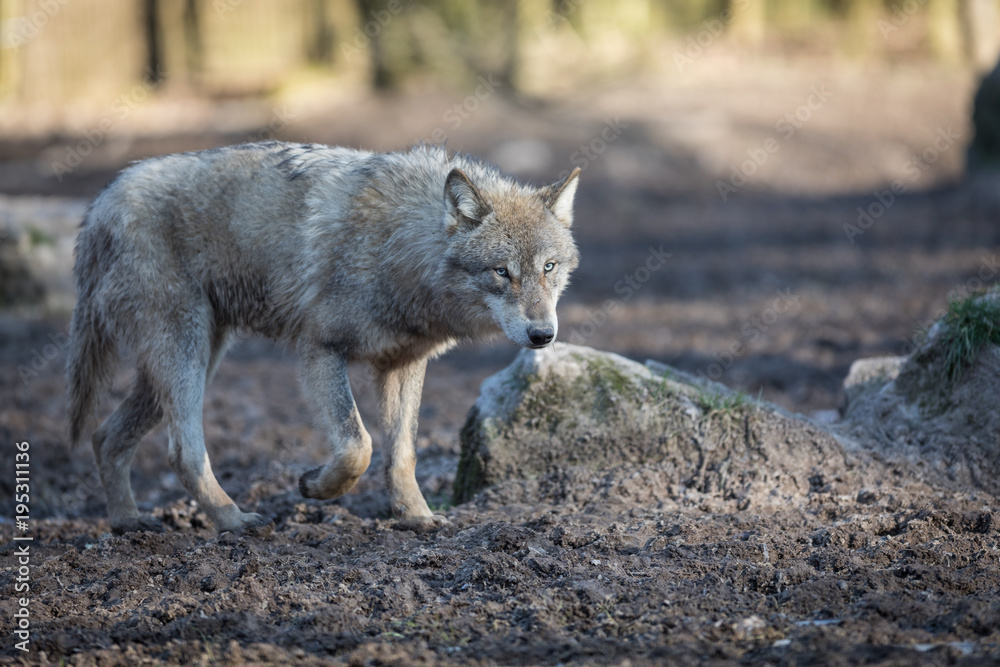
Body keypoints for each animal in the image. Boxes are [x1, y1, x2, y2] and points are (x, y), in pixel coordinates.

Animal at [66, 142, 580, 536]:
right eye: (502, 272)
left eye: (548, 267)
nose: (542, 335)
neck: (400, 250)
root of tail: (104, 199)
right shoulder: (318, 351)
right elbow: (358, 446)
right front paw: (314, 487)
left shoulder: (404, 364)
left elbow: (402, 454)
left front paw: (416, 517)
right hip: (186, 354)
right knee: (182, 452)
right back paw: (235, 522)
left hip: (189, 364)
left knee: (105, 436)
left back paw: (127, 522)